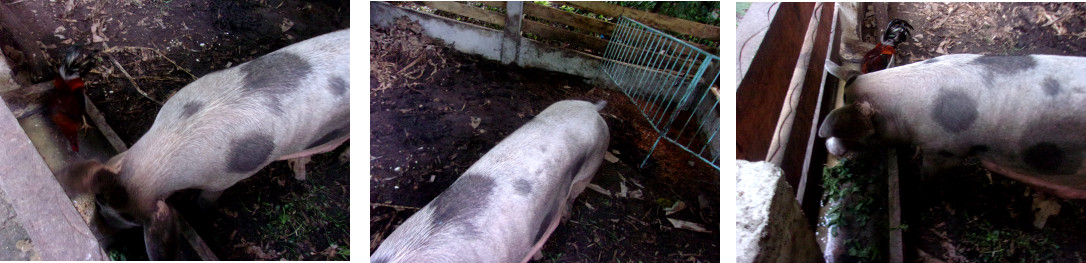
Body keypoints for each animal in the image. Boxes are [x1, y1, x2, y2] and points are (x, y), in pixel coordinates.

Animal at [63, 28, 349, 258]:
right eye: (98, 200)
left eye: (133, 223)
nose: (98, 230)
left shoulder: (225, 178)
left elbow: (207, 201)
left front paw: (197, 213)